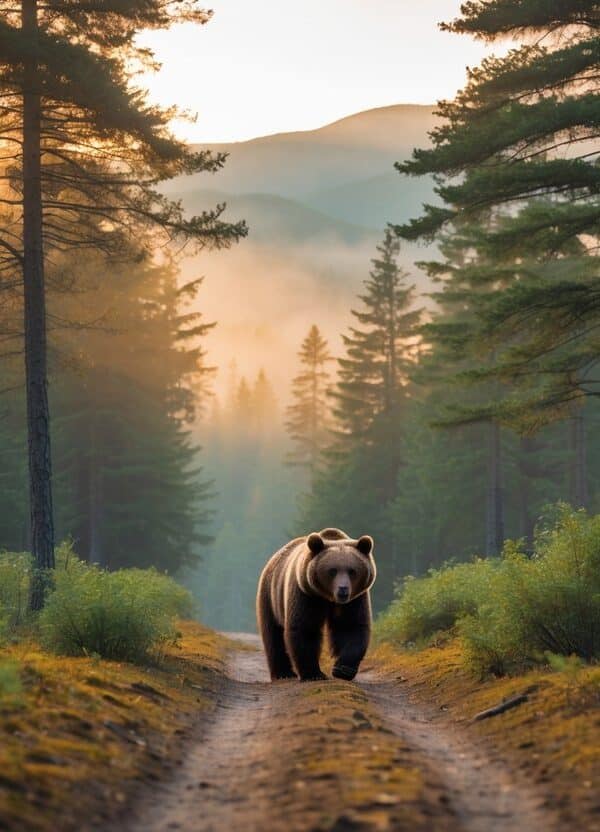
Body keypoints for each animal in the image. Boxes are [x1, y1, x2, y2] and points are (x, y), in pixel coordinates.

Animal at [256, 527, 376, 682]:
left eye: (352, 571)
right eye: (333, 570)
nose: (343, 589)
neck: (328, 598)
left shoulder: (354, 600)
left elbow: (351, 627)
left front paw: (342, 670)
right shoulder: (306, 594)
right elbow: (305, 628)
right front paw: (313, 674)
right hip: (270, 596)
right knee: (273, 635)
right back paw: (283, 673)